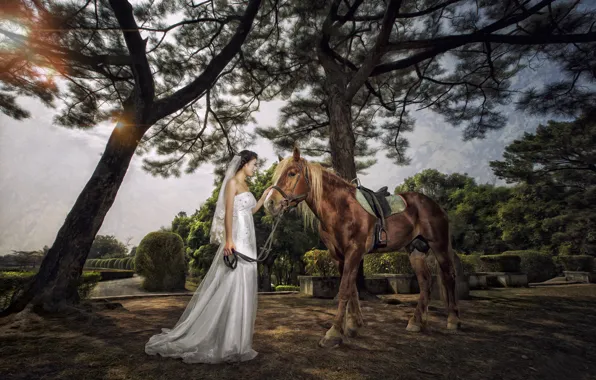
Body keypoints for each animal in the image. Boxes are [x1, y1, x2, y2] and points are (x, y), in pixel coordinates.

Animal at [266, 148, 460, 348]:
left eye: (292, 173)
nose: (270, 203)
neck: (341, 207)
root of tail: (434, 205)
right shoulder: (339, 256)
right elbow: (352, 288)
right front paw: (353, 325)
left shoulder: (354, 251)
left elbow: (344, 288)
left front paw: (334, 333)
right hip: (415, 250)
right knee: (425, 281)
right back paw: (416, 322)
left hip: (439, 245)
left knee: (449, 276)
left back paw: (452, 321)